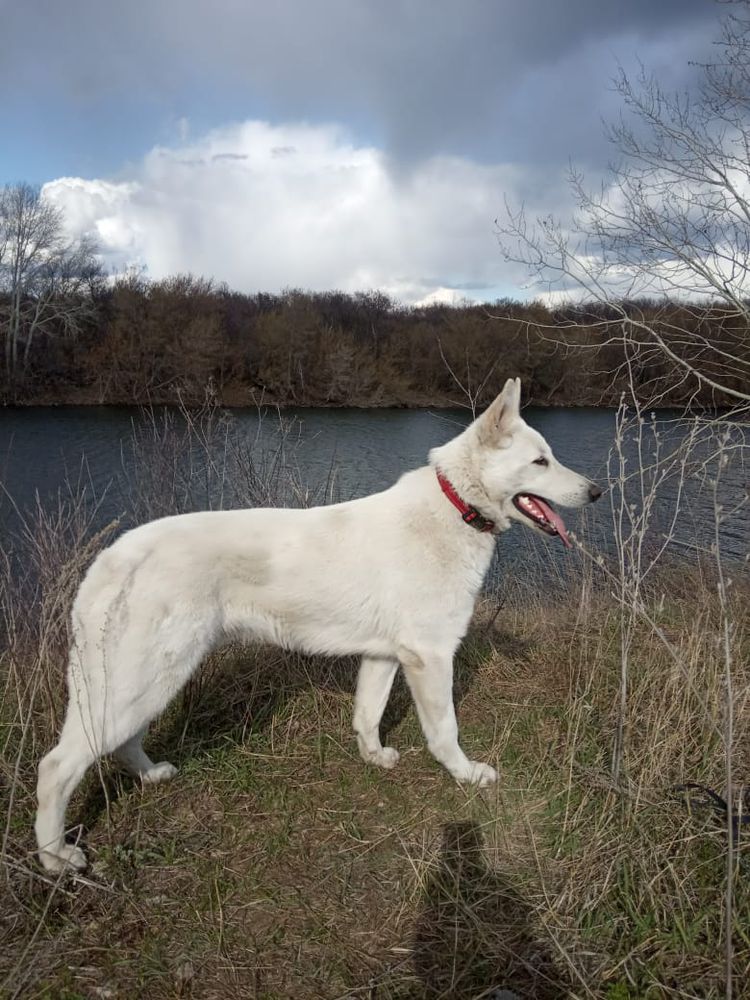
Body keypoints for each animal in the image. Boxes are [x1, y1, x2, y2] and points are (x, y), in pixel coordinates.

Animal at [35, 378, 604, 872]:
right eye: (540, 460)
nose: (597, 492)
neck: (455, 507)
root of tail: (112, 556)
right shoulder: (430, 656)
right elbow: (445, 731)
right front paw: (465, 775)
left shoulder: (384, 656)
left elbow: (367, 715)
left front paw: (373, 758)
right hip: (145, 679)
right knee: (56, 768)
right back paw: (56, 857)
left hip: (151, 679)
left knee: (120, 744)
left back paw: (151, 776)